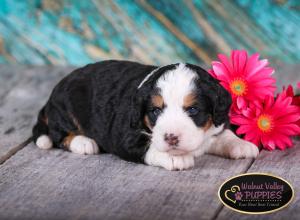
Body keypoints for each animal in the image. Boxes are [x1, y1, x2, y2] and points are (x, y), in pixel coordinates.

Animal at [32, 61, 258, 171]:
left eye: (193, 110)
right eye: (155, 111)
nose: (171, 138)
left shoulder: (216, 123)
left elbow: (222, 134)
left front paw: (241, 145)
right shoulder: (125, 136)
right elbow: (150, 147)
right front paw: (174, 157)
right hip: (66, 106)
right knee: (58, 134)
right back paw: (83, 142)